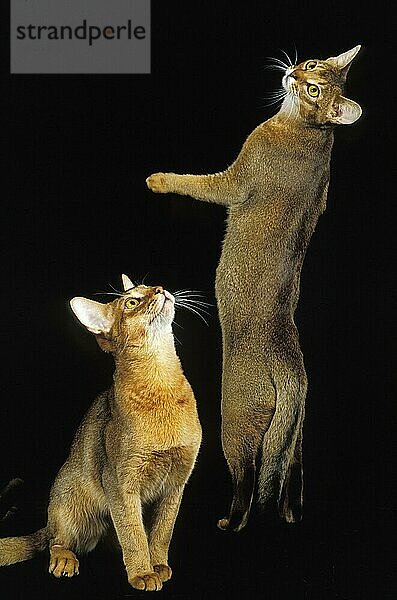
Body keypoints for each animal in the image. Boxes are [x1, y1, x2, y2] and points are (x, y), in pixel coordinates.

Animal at [0, 276, 200, 592]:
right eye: (131, 302)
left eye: (150, 286)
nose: (160, 290)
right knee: (56, 541)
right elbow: (133, 533)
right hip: (69, 500)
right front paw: (143, 573)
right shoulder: (120, 482)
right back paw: (64, 559)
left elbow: (161, 531)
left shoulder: (176, 483)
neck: (161, 380)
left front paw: (158, 565)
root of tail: (48, 522)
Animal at [146, 49, 362, 532]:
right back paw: (290, 513)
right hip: (294, 430)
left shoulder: (234, 180)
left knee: (248, 473)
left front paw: (159, 179)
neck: (310, 133)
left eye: (314, 89)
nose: (294, 73)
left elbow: (197, 183)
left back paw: (233, 519)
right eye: (313, 65)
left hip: (237, 422)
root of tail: (289, 367)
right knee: (290, 470)